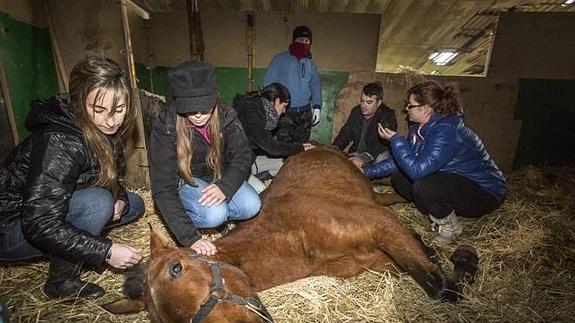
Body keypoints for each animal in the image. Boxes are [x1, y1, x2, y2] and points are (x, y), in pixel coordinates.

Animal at [104, 148, 482, 322]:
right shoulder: (381, 260)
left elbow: (440, 287)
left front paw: (463, 257)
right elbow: (435, 278)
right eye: (159, 319)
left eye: (177, 268)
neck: (294, 234)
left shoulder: (382, 226)